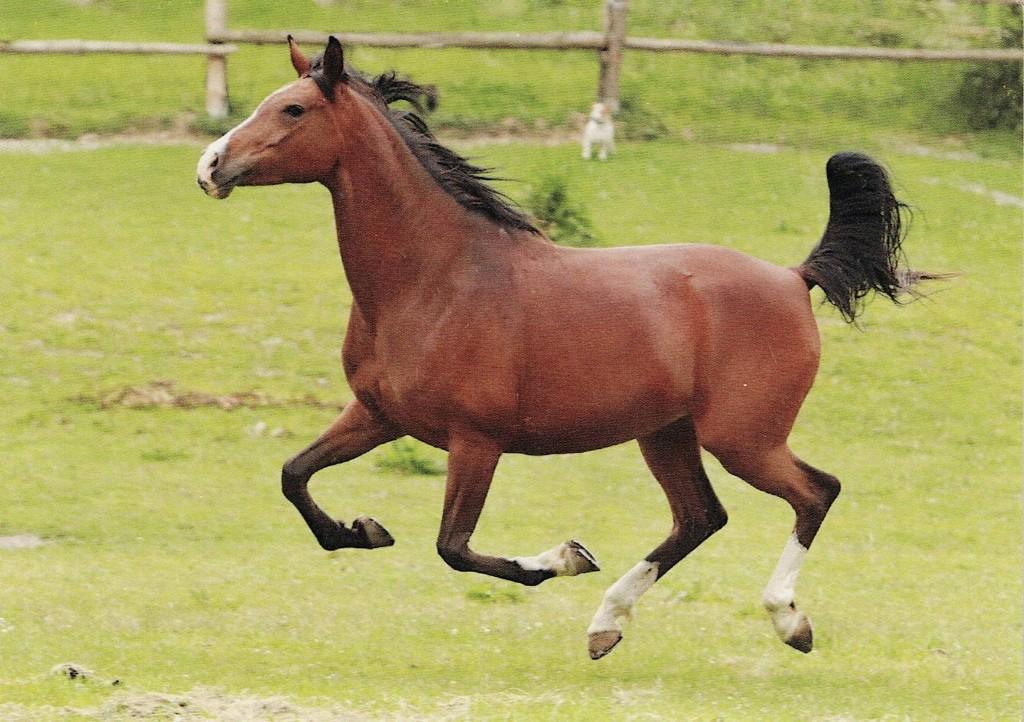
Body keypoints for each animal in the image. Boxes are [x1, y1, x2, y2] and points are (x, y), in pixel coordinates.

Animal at [196, 36, 939, 660]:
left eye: (292, 109)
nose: (209, 166)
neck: (434, 278)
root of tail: (793, 277)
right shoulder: (378, 415)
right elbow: (295, 476)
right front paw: (363, 529)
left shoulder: (477, 440)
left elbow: (454, 547)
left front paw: (564, 557)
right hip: (666, 434)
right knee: (701, 516)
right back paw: (607, 624)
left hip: (743, 438)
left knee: (815, 492)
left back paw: (787, 618)